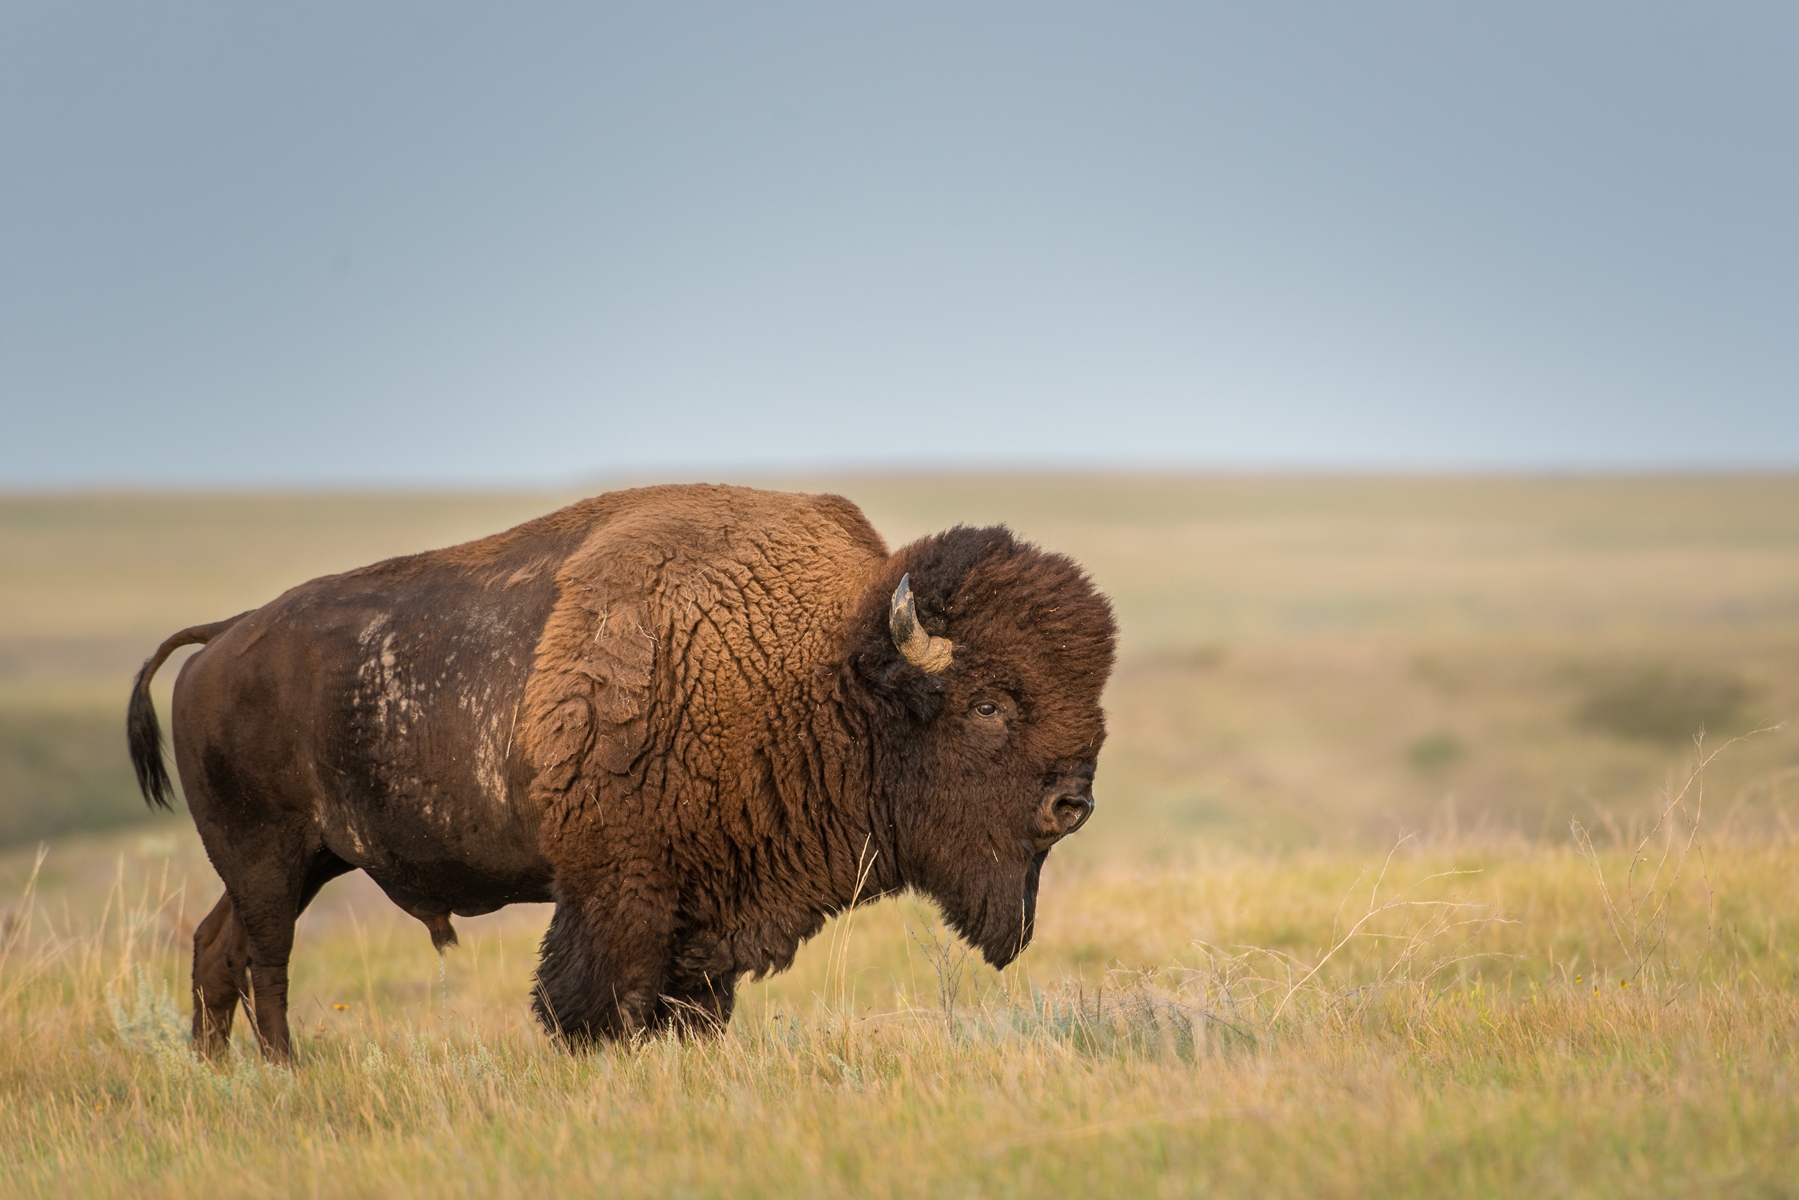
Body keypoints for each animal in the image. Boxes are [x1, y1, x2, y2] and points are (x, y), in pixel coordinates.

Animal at [130, 482, 1108, 1057]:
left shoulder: (711, 906)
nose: (1072, 803)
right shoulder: (619, 889)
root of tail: (223, 638)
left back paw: (221, 1075)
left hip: (302, 861)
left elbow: (694, 1003)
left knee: (216, 948)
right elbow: (599, 999)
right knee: (265, 961)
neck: (815, 666)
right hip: (267, 857)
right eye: (989, 705)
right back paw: (283, 1070)